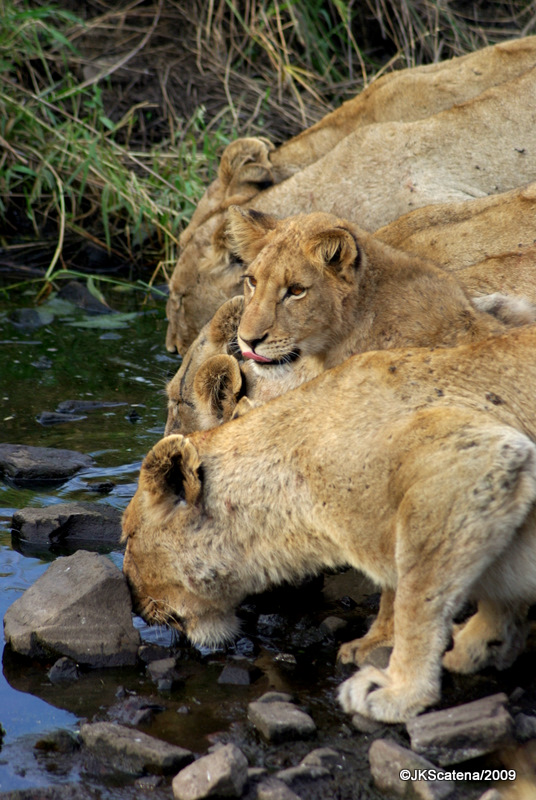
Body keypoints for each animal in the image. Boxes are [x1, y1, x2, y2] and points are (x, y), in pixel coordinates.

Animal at [122, 324, 536, 723]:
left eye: (126, 537)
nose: (134, 605)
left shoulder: (468, 459)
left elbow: (417, 597)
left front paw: (396, 690)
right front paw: (474, 646)